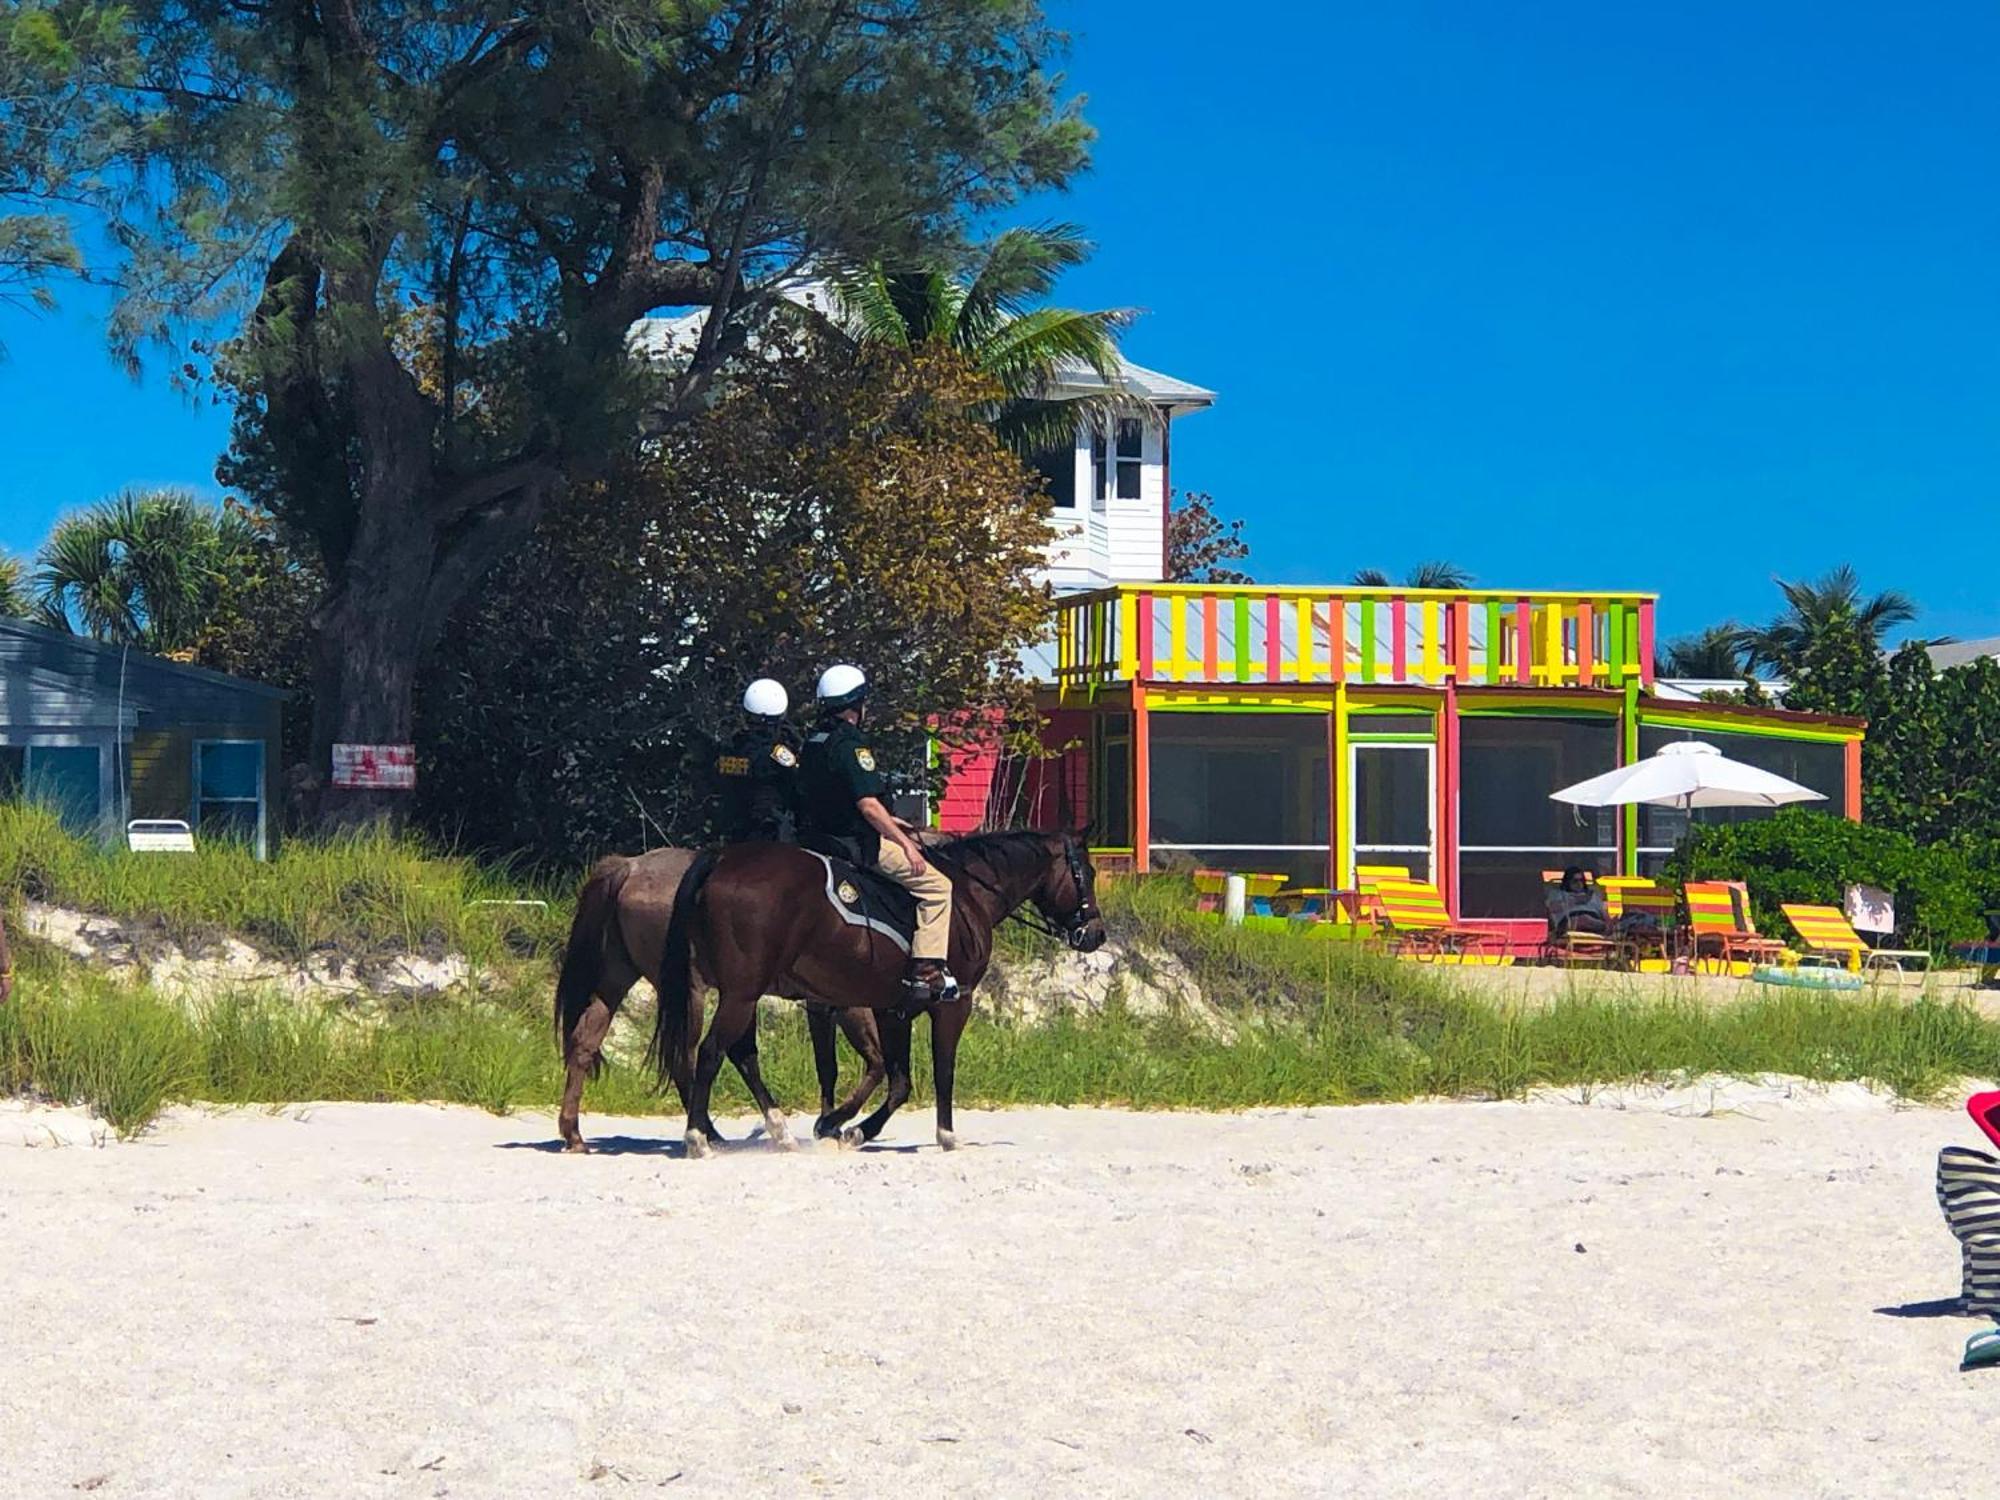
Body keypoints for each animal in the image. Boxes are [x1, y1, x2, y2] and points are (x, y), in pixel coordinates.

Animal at [552, 852, 888, 1160]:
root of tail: (631, 867)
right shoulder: (844, 1004)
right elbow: (870, 1062)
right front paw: (834, 1124)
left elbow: (831, 1066)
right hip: (693, 993)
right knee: (689, 1058)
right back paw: (710, 1135)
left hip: (618, 979)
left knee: (585, 1040)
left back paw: (574, 1135)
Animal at [652, 828, 1104, 1160]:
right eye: (1087, 873)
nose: (1096, 935)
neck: (967, 895)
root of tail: (722, 858)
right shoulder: (955, 1003)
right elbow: (941, 1071)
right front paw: (945, 1135)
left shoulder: (893, 1010)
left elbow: (898, 1080)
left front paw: (846, 1127)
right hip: (742, 994)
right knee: (712, 1052)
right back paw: (698, 1138)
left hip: (742, 994)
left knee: (741, 1054)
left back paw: (779, 1130)